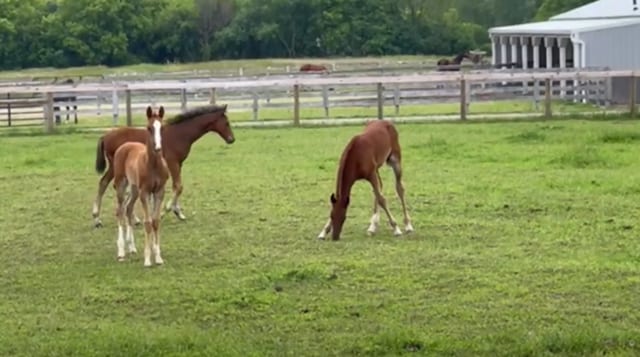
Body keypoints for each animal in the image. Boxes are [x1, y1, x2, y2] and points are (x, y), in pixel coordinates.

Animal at [92, 103, 235, 227]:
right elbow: (178, 186)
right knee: (107, 184)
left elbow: (177, 186)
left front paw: (178, 212)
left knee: (105, 183)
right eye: (227, 123)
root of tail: (105, 135)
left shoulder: (179, 164)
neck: (180, 134)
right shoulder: (173, 163)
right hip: (115, 167)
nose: (231, 139)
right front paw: (166, 211)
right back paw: (99, 218)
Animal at [112, 104, 169, 266]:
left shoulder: (159, 192)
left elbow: (155, 222)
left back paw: (131, 247)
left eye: (162, 127)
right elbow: (147, 222)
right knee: (120, 211)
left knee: (128, 208)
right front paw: (148, 259)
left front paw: (158, 257)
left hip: (134, 189)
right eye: (149, 128)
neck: (153, 165)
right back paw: (121, 251)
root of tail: (125, 145)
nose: (158, 148)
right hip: (122, 184)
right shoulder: (145, 192)